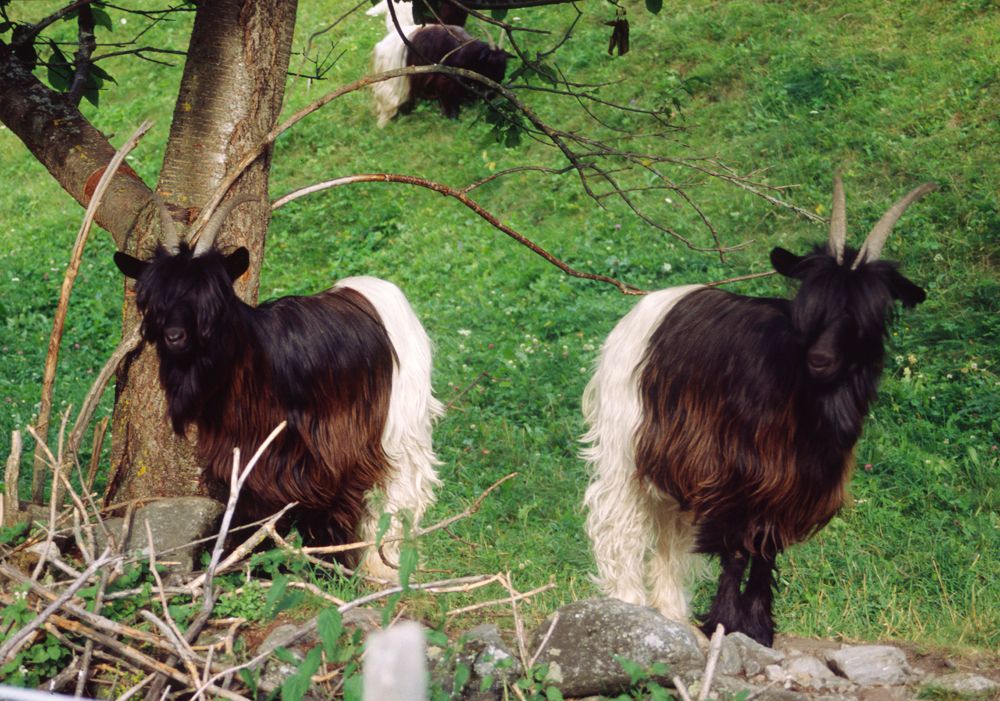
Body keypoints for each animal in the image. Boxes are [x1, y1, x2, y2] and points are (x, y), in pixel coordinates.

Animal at [113, 198, 442, 580]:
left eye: (214, 298)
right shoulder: (246, 460)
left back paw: (388, 565)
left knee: (402, 494)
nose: (175, 337)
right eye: (152, 299)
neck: (254, 361)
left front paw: (332, 570)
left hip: (401, 425)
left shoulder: (328, 452)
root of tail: (374, 289)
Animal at [370, 22, 504, 127]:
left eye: (502, 65)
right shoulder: (446, 80)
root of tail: (380, 49)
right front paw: (452, 117)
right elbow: (449, 98)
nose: (493, 93)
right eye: (489, 64)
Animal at [584, 176, 932, 644]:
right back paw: (629, 605)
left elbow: (766, 552)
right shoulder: (734, 472)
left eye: (871, 312)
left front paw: (758, 627)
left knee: (672, 534)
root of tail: (647, 306)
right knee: (618, 522)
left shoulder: (788, 485)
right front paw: (727, 622)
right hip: (627, 440)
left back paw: (672, 614)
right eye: (810, 300)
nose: (820, 360)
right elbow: (736, 548)